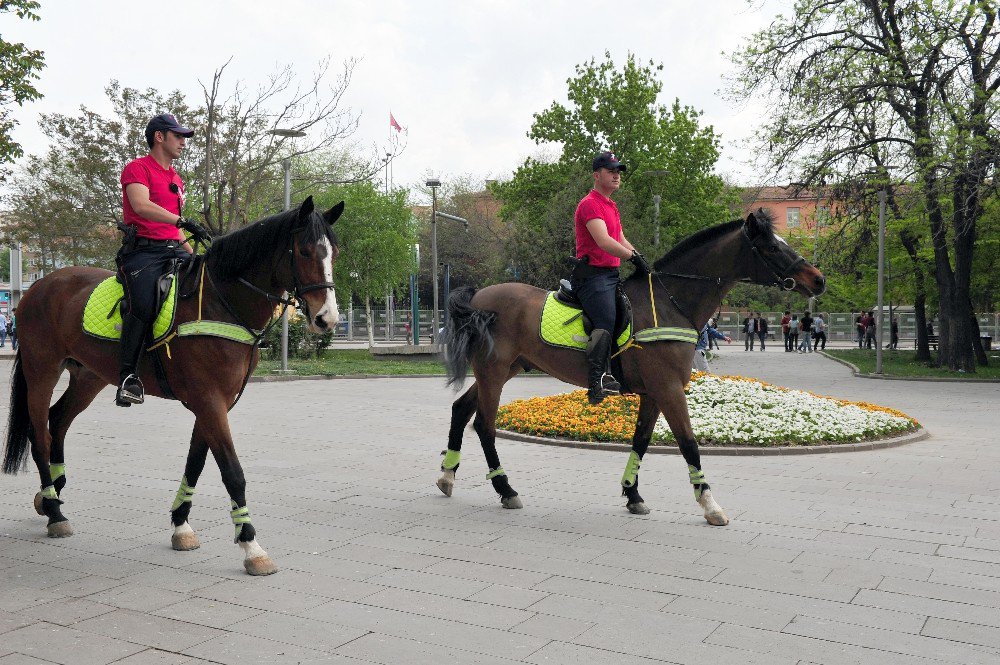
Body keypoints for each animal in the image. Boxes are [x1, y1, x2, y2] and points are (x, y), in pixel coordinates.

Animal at [2, 195, 344, 572]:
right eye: (305, 252)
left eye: (335, 253)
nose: (327, 318)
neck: (220, 302)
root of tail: (38, 286)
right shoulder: (208, 401)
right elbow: (232, 471)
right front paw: (251, 545)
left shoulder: (215, 403)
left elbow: (195, 462)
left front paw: (181, 525)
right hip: (42, 370)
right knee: (39, 433)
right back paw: (53, 510)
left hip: (88, 376)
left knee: (58, 420)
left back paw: (52, 494)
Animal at [436, 210, 820, 520]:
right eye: (772, 248)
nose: (818, 279)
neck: (669, 301)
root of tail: (479, 296)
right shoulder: (668, 390)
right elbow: (688, 443)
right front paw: (709, 504)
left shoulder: (653, 393)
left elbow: (641, 441)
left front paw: (633, 494)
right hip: (494, 372)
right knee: (484, 425)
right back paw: (505, 489)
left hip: (502, 370)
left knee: (461, 409)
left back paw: (447, 475)